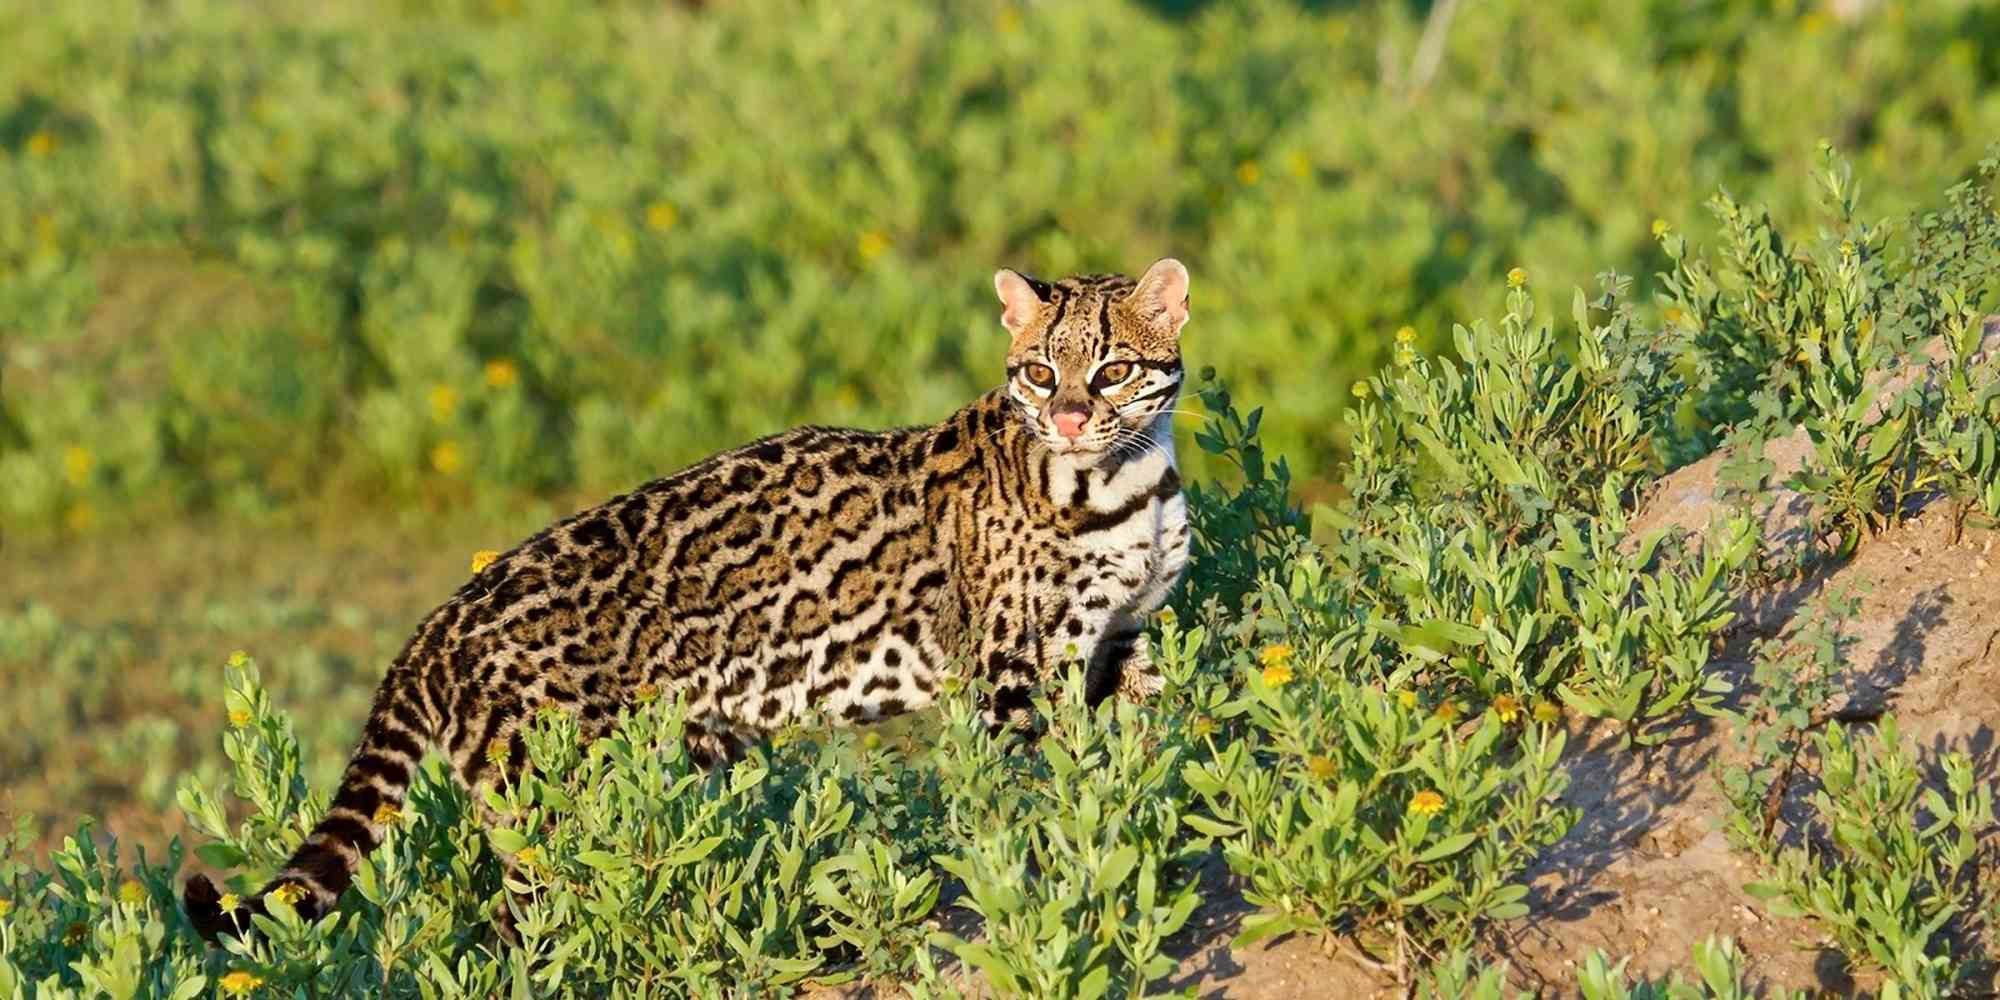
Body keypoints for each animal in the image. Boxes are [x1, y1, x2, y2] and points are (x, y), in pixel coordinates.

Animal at [184, 256, 1184, 936]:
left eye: (1115, 370)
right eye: (1039, 371)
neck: (1122, 484)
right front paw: (1058, 870)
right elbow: (1040, 793)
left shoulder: (1121, 637)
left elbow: (1154, 730)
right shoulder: (1011, 672)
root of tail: (437, 621)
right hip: (546, 805)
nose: (1069, 418)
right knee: (517, 930)